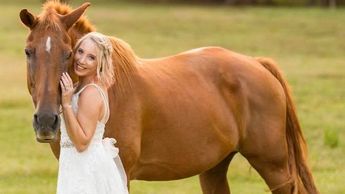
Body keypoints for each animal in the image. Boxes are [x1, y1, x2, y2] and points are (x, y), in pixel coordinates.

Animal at [19, 1, 318, 194]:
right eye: (28, 51)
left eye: (69, 53)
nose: (45, 121)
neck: (109, 89)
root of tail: (257, 63)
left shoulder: (122, 173)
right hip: (215, 168)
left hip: (274, 167)